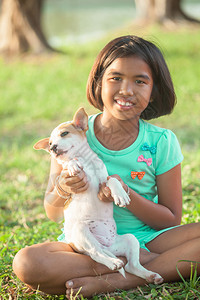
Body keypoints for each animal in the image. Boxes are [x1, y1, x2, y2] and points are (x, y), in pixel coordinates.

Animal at [34, 108, 162, 284]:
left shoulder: (104, 179)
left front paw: (120, 194)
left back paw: (151, 275)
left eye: (64, 133)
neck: (86, 161)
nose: (52, 147)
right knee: (96, 254)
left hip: (129, 239)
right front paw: (72, 165)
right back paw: (113, 262)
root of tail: (105, 246)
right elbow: (68, 163)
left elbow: (113, 179)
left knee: (131, 265)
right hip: (82, 231)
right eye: (50, 143)